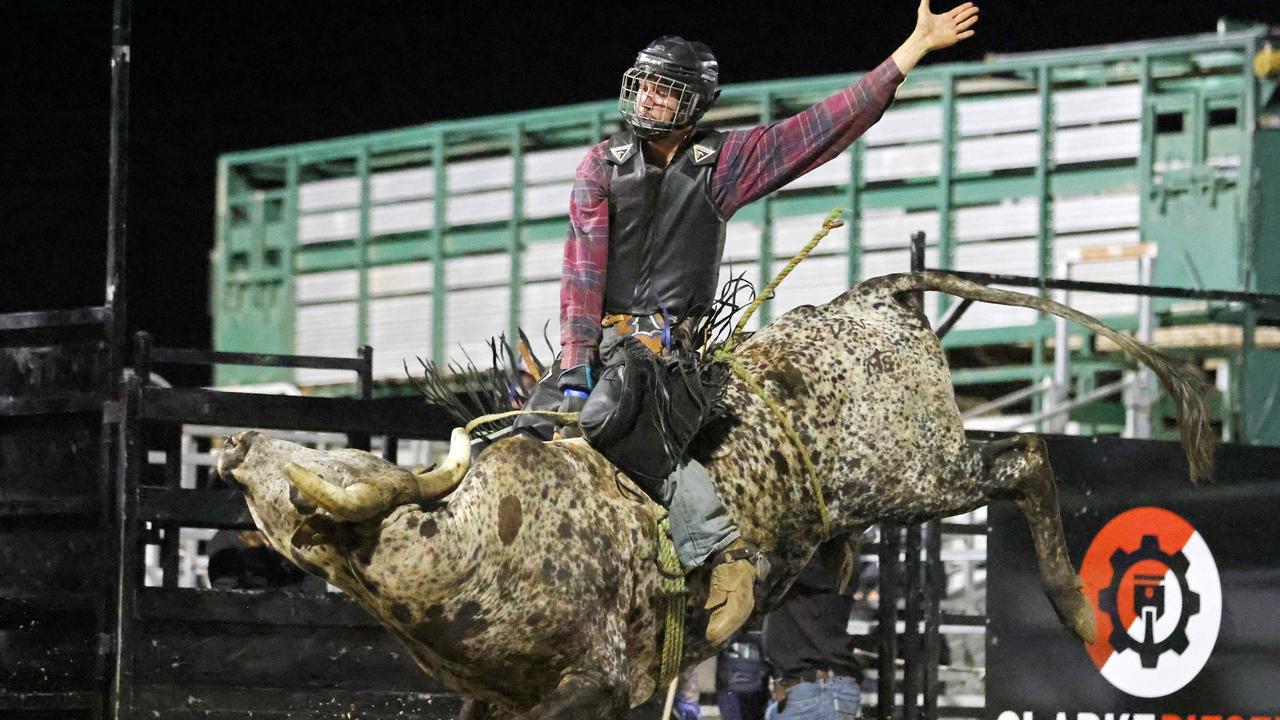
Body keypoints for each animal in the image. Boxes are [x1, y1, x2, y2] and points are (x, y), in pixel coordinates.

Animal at [217, 270, 1208, 717]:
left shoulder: (596, 683)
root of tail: (875, 297)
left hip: (915, 471)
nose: (233, 440)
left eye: (329, 472)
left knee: (1027, 458)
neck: (469, 540)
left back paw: (1078, 609)